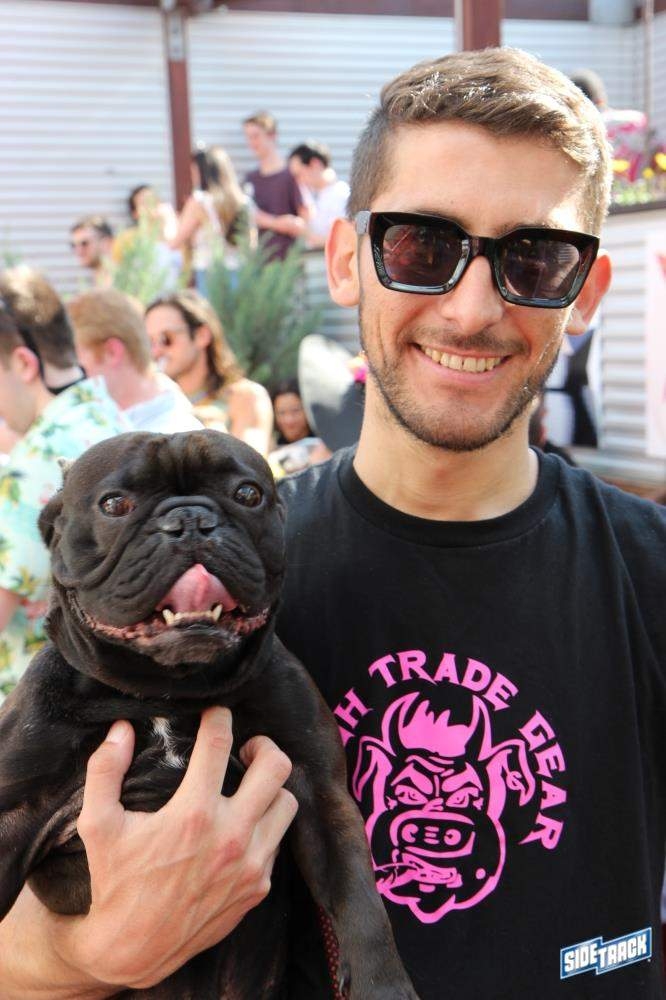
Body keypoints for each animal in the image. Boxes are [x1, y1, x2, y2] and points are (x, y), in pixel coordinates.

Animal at [0, 430, 418, 999]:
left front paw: (384, 986)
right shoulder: (13, 811)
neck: (165, 692)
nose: (191, 520)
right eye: (114, 504)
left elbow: (357, 893)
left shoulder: (319, 790)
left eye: (248, 494)